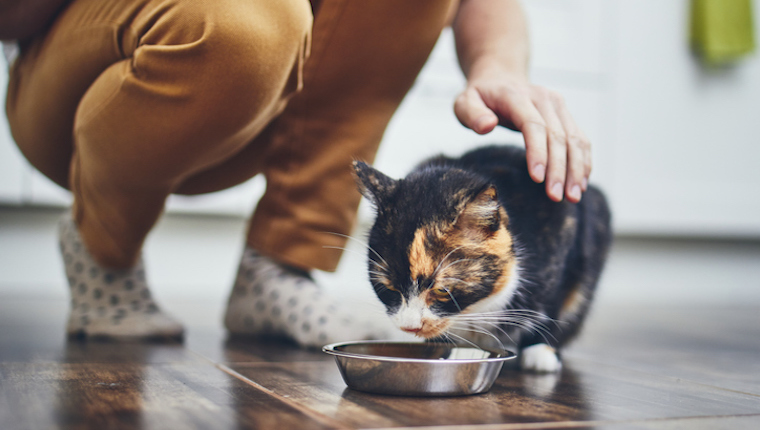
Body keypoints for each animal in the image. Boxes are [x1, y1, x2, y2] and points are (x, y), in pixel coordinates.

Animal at [352, 145, 612, 372]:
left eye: (442, 291)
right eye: (389, 289)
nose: (409, 326)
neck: (474, 310)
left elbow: (553, 301)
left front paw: (540, 350)